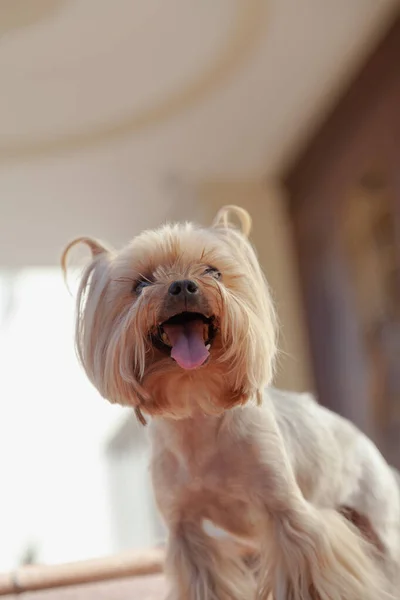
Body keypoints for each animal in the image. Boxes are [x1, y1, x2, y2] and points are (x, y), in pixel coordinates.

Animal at [62, 206, 400, 600]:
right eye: (141, 284)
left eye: (213, 271)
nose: (182, 285)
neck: (196, 404)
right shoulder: (186, 530)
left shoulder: (288, 515)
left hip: (380, 522)